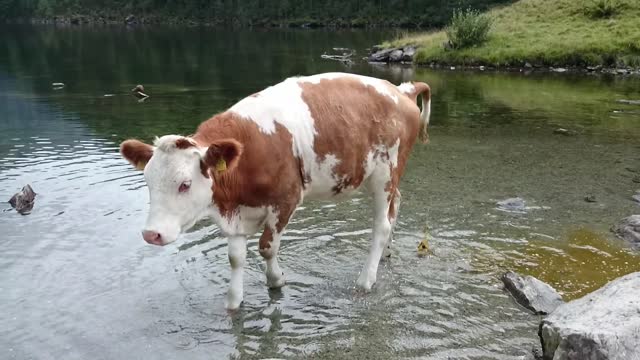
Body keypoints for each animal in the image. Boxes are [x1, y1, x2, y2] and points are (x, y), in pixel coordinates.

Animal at [120, 73, 430, 310]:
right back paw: (386, 254)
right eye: (147, 181)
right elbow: (236, 257)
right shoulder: (237, 211)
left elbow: (266, 247)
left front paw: (276, 280)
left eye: (185, 184)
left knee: (381, 225)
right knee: (394, 209)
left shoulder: (286, 200)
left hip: (385, 173)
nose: (151, 234)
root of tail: (400, 89)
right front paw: (234, 302)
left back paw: (366, 280)